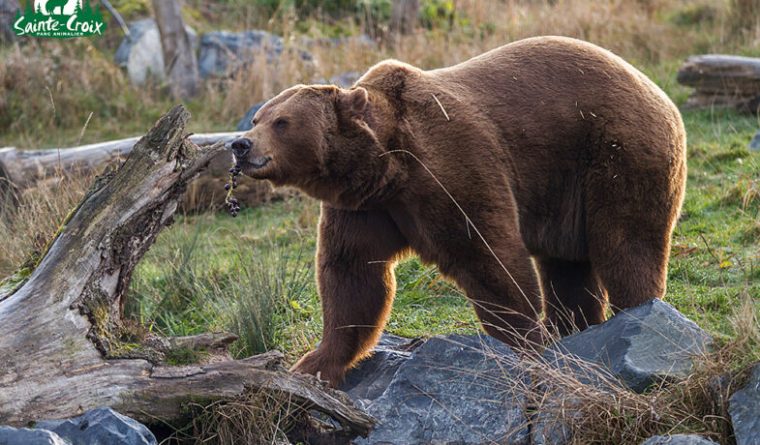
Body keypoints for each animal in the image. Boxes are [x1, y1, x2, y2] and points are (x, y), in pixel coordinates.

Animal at [232, 36, 688, 386]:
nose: (240, 145)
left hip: (616, 153)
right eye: (257, 117)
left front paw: (527, 341)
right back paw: (577, 328)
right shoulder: (366, 208)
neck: (386, 165)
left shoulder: (450, 167)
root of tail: (656, 90)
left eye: (281, 122)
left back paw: (638, 317)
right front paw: (314, 363)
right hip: (568, 193)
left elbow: (489, 256)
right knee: (568, 269)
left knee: (626, 245)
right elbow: (353, 277)